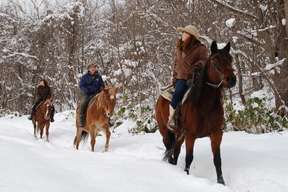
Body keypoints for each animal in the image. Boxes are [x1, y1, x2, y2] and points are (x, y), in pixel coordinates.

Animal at [155, 41, 236, 185]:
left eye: (231, 59)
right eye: (215, 60)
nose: (231, 79)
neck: (205, 106)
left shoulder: (216, 134)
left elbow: (217, 160)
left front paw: (221, 183)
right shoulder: (190, 135)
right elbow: (189, 158)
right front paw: (186, 175)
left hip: (179, 135)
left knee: (175, 152)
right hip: (165, 131)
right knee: (169, 150)